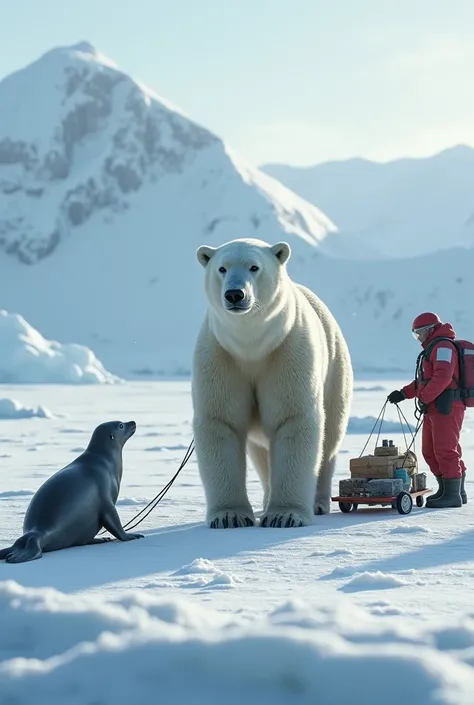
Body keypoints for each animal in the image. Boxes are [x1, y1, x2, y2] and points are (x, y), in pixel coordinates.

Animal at [192, 236, 352, 528]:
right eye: (222, 268)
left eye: (254, 267)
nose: (235, 294)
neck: (251, 347)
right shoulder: (220, 356)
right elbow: (221, 422)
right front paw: (229, 516)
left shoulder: (288, 351)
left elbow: (293, 419)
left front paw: (284, 515)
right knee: (259, 452)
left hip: (335, 368)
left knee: (329, 439)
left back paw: (318, 502)